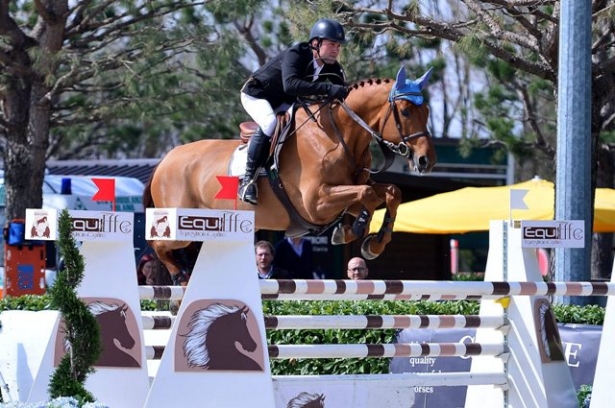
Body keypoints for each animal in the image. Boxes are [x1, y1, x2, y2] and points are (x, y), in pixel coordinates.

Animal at [142, 65, 436, 282]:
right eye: (406, 112)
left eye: (427, 110)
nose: (426, 161)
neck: (337, 136)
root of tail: (165, 160)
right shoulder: (316, 203)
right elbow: (368, 195)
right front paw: (355, 230)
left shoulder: (340, 200)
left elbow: (390, 193)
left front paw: (372, 242)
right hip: (180, 228)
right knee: (158, 245)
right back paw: (179, 277)